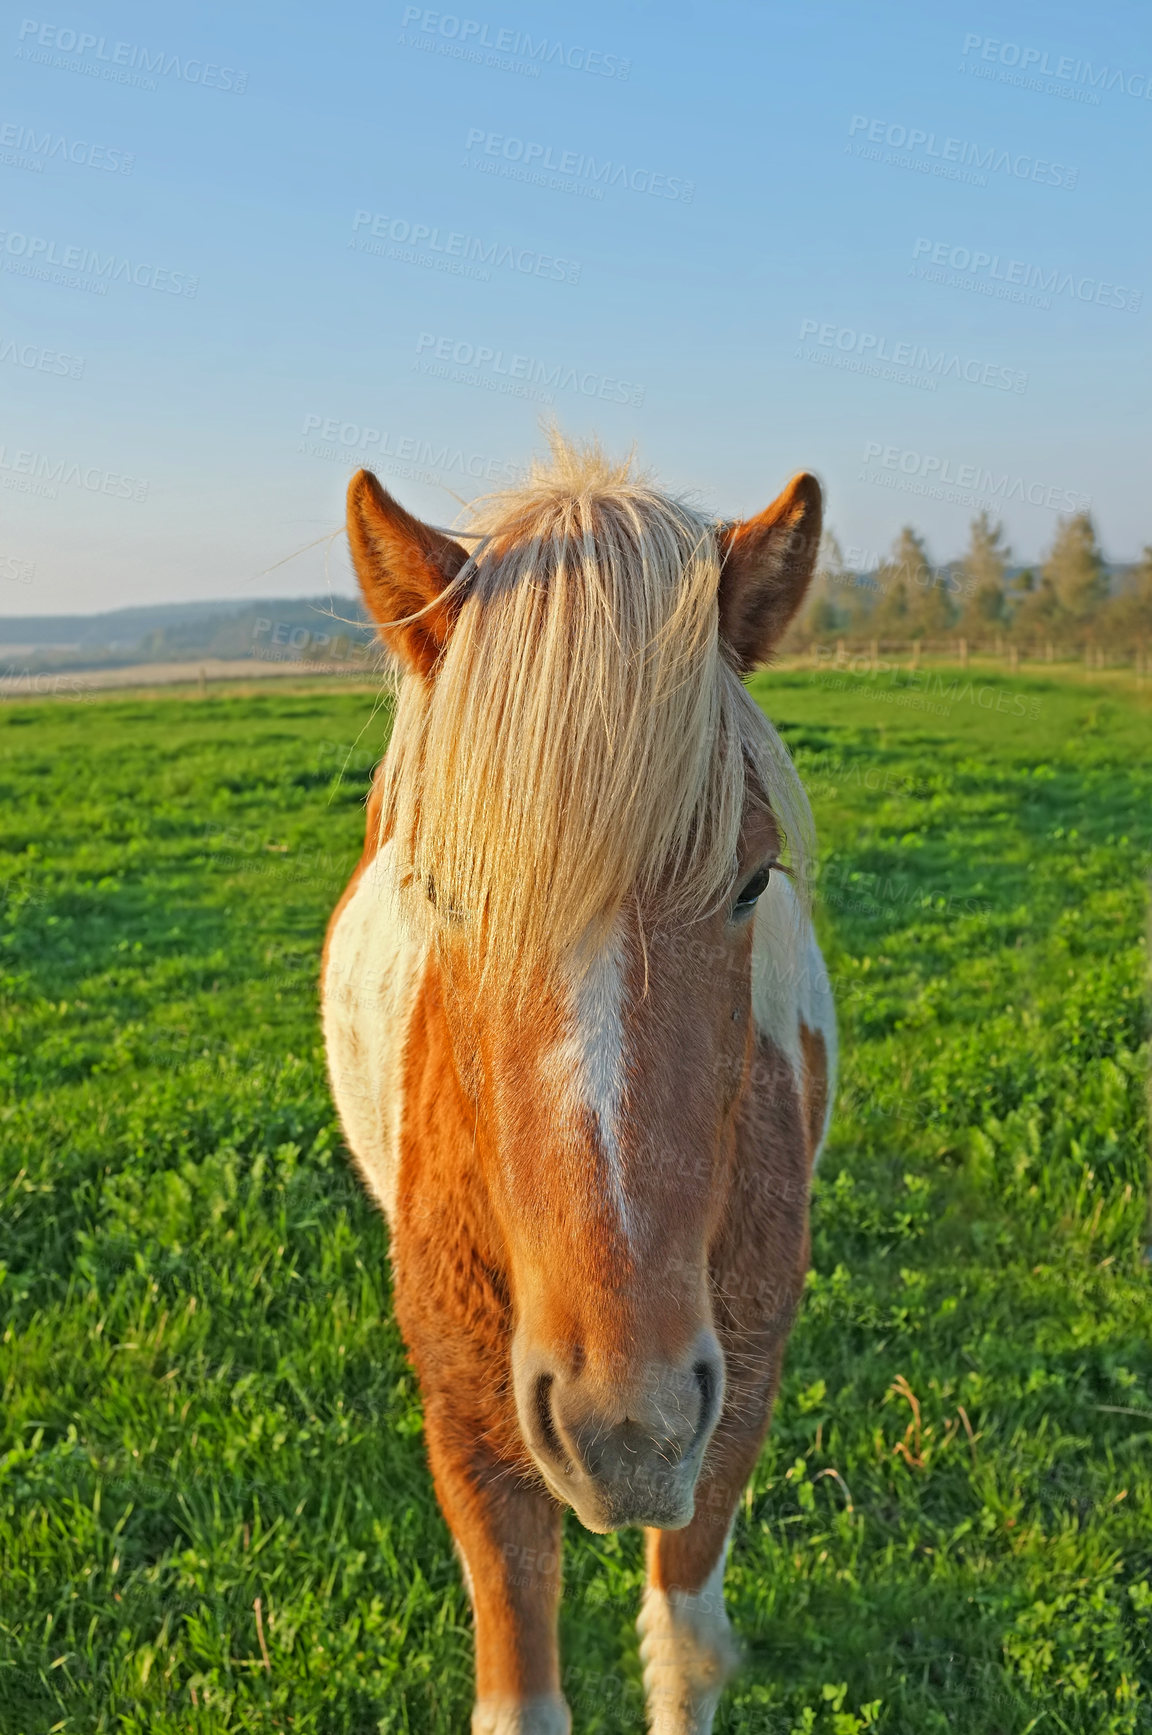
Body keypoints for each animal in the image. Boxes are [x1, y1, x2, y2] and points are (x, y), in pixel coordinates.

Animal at [324, 437, 836, 1735]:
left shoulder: (734, 1399)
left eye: (751, 879)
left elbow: (687, 1647)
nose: (627, 1427)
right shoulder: (471, 1429)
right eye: (441, 887)